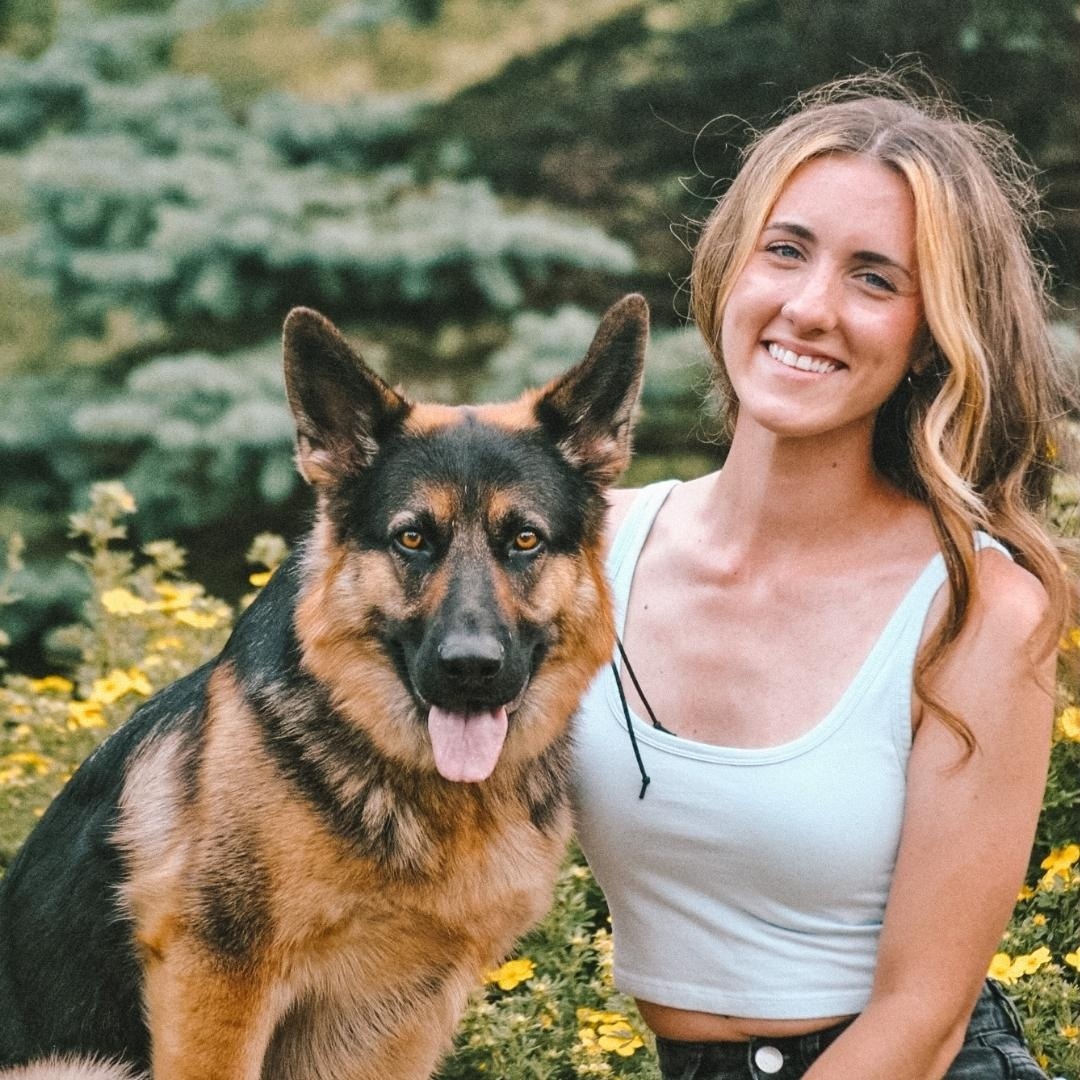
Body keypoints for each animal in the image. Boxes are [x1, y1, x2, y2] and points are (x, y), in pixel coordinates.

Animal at [0, 294, 648, 1080]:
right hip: (76, 1064)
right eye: (411, 538)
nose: (470, 668)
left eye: (525, 540)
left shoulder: (402, 1021)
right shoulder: (217, 984)